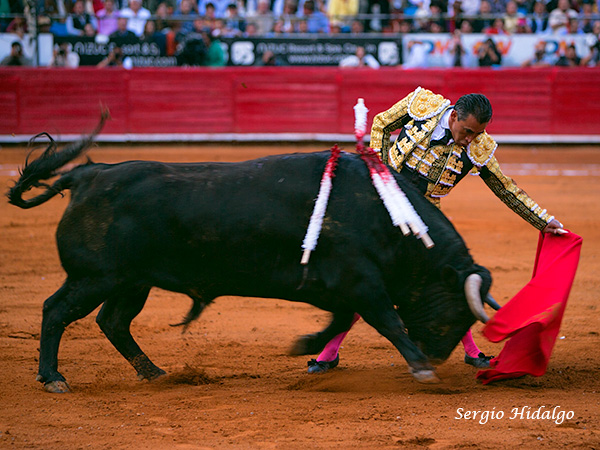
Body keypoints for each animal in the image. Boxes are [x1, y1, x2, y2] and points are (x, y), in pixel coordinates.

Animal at [7, 118, 492, 392]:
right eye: (453, 310)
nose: (435, 356)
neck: (386, 215)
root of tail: (88, 175)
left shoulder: (340, 287)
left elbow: (340, 321)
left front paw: (306, 347)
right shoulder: (360, 281)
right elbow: (387, 320)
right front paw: (421, 370)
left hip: (131, 281)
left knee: (113, 321)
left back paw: (154, 372)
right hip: (94, 277)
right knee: (56, 310)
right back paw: (53, 378)